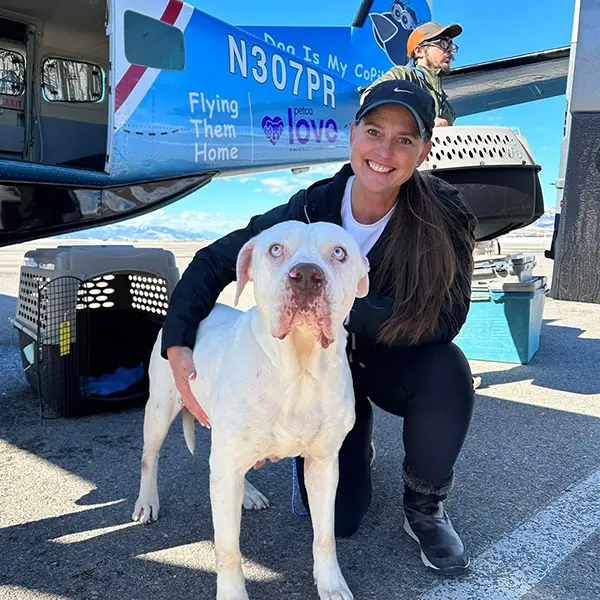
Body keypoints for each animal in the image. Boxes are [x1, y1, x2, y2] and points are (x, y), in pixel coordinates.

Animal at [133, 220, 368, 600]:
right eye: (275, 249)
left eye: (339, 252)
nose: (306, 275)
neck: (297, 367)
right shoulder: (224, 467)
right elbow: (228, 549)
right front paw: (232, 593)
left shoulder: (323, 465)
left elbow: (325, 536)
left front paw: (331, 584)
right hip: (159, 408)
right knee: (149, 457)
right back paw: (146, 502)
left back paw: (249, 493)